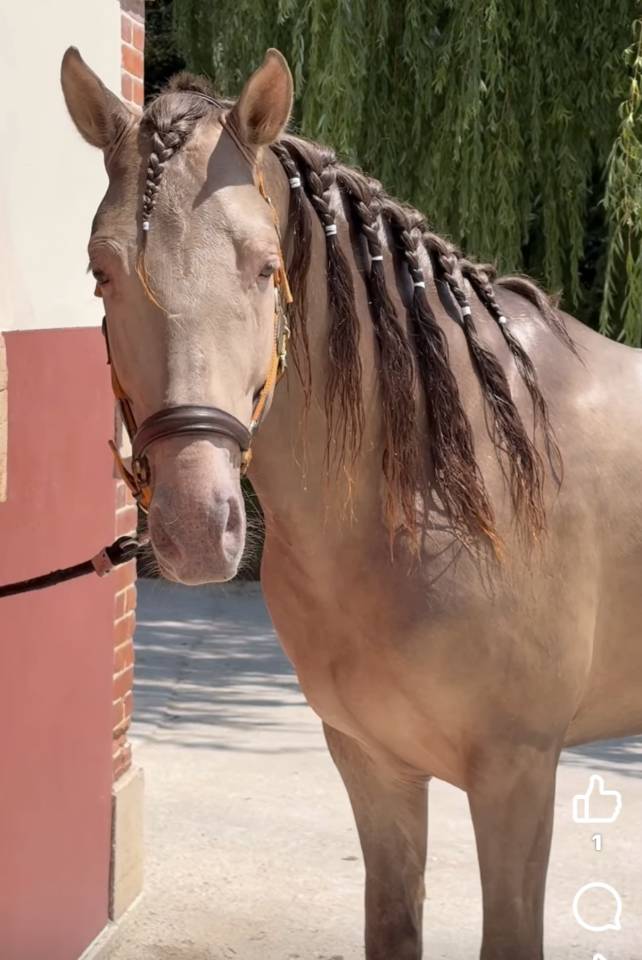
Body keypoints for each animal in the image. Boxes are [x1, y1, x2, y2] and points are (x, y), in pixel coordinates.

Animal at [60, 46, 642, 959]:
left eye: (266, 266)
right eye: (101, 270)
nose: (196, 527)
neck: (444, 497)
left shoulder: (518, 776)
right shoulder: (373, 763)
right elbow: (391, 925)